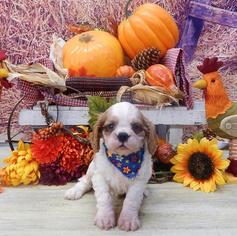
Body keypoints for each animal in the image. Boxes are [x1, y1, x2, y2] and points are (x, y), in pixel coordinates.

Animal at [65, 101, 157, 230]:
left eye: (136, 127)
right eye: (111, 126)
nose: (123, 135)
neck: (123, 160)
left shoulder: (139, 181)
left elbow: (131, 200)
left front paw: (128, 220)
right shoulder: (99, 177)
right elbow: (104, 198)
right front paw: (105, 218)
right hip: (91, 169)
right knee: (85, 181)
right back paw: (74, 191)